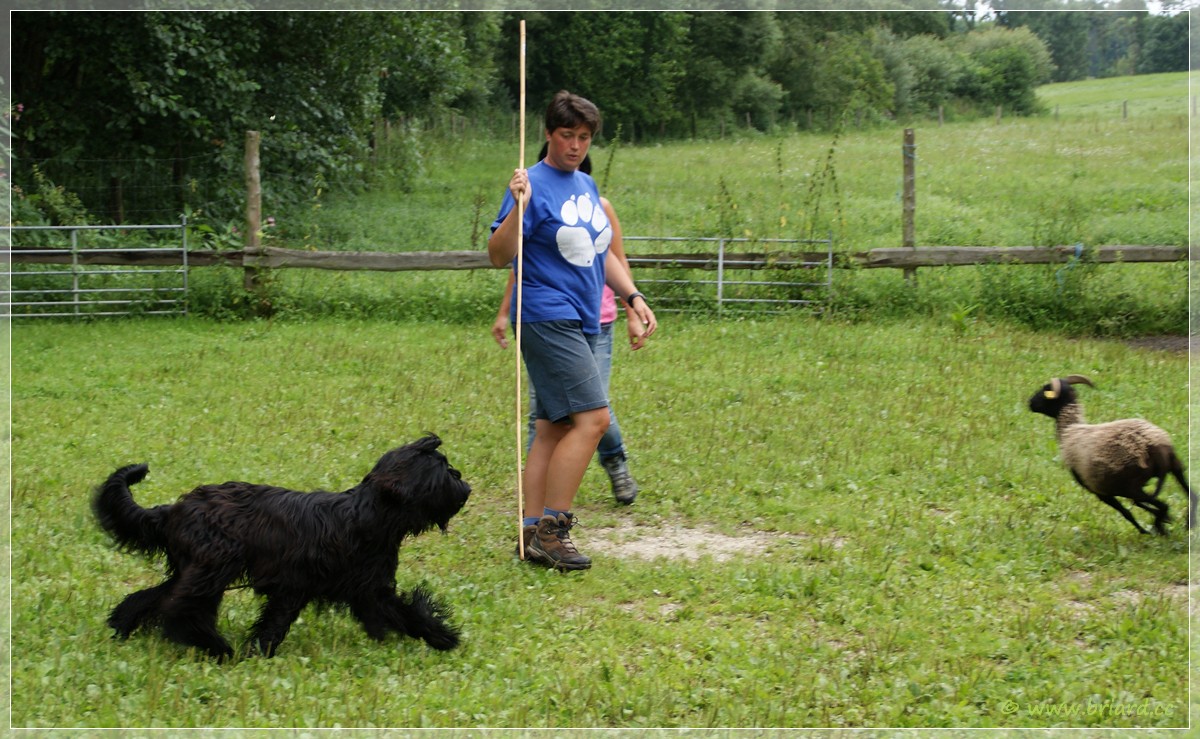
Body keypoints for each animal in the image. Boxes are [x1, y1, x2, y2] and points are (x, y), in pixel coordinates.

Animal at [90, 431, 468, 657]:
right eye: (444, 470)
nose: (464, 483)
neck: (368, 516)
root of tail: (171, 510)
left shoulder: (366, 587)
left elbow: (405, 613)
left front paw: (440, 637)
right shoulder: (297, 584)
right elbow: (276, 621)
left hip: (194, 569)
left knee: (152, 598)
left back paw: (120, 627)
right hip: (212, 568)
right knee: (180, 607)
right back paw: (217, 648)